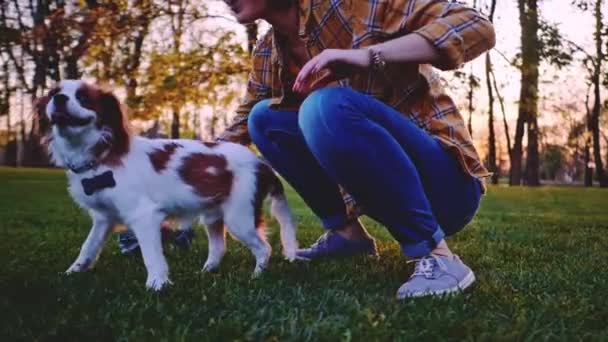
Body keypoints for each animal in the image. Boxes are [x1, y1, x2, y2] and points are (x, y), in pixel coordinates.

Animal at [35, 79, 296, 288]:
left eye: (83, 98)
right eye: (54, 93)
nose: (58, 99)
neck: (101, 156)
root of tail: (261, 164)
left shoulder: (144, 217)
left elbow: (151, 255)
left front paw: (157, 285)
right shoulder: (103, 219)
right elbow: (88, 247)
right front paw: (72, 272)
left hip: (239, 218)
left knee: (264, 248)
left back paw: (257, 277)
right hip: (213, 216)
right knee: (218, 248)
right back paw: (206, 272)